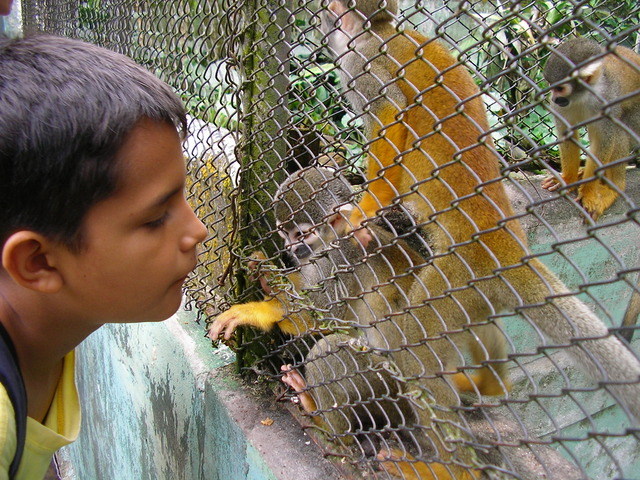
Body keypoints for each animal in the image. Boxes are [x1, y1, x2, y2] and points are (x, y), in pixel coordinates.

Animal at [540, 37, 640, 220]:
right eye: (551, 85)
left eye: (560, 88)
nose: (554, 98)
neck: (583, 96)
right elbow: (568, 134)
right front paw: (568, 179)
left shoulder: (607, 101)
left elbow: (602, 142)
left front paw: (588, 192)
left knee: (619, 130)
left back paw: (615, 187)